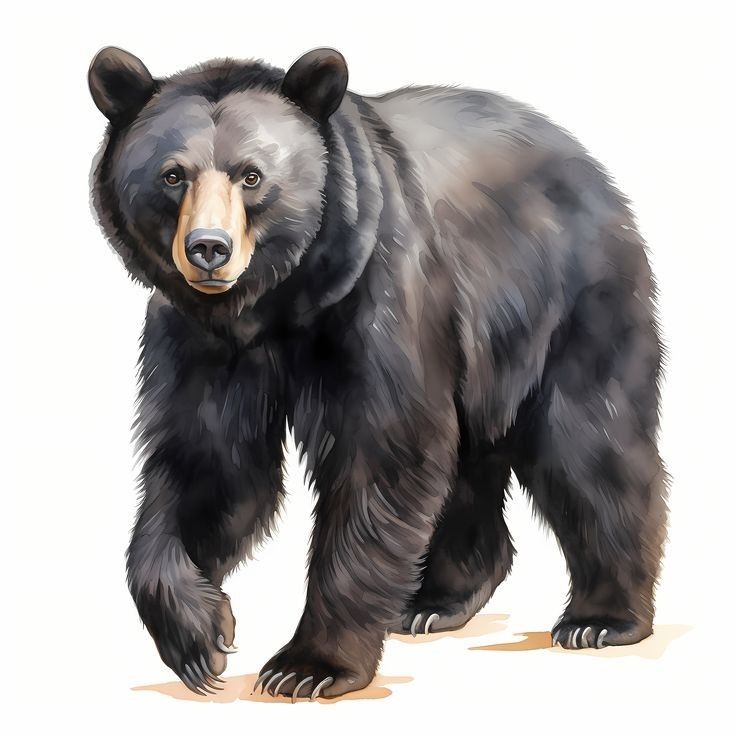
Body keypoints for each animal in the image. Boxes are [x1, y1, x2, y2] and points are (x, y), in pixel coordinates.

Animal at [89, 47, 668, 700]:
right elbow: (207, 464)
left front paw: (308, 664)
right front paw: (197, 636)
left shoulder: (381, 293)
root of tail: (589, 163)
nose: (208, 248)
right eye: (172, 175)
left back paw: (602, 617)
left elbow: (383, 455)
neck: (276, 304)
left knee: (587, 444)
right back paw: (435, 600)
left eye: (252, 175)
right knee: (468, 460)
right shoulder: (200, 342)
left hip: (570, 301)